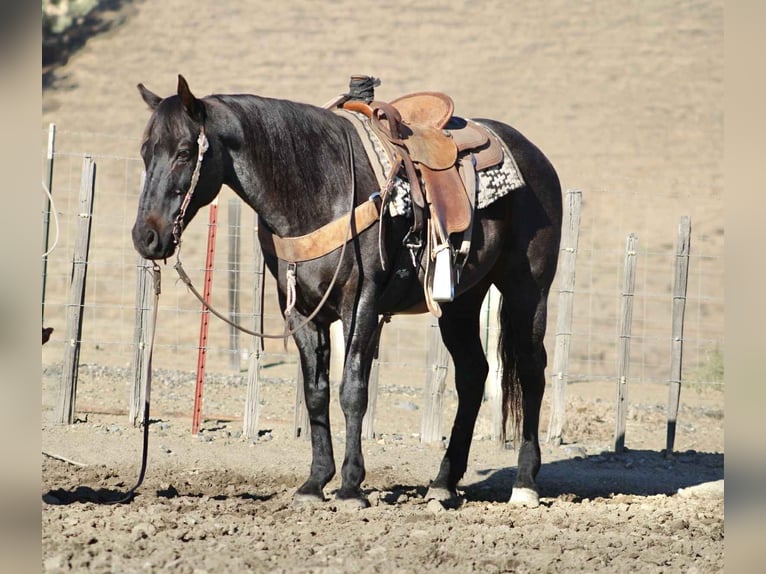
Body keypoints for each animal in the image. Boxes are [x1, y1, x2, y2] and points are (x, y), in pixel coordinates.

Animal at [132, 75, 562, 509]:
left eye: (185, 152)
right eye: (145, 151)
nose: (145, 237)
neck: (320, 187)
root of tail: (536, 156)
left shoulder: (361, 303)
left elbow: (353, 389)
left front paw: (352, 486)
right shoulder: (300, 311)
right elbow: (316, 392)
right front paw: (315, 482)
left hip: (527, 291)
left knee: (531, 371)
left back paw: (525, 482)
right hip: (461, 303)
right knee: (473, 373)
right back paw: (443, 482)